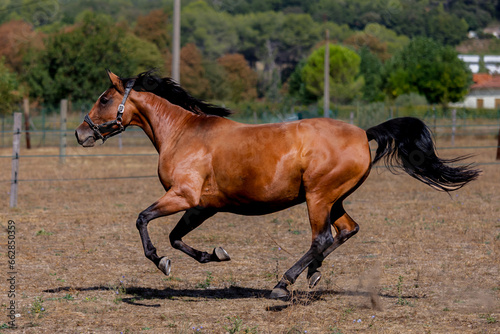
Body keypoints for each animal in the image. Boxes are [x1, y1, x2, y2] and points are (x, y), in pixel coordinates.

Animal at [75, 71, 480, 300]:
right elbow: (177, 237)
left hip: (318, 197)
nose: (81, 134)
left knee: (322, 237)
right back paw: (313, 274)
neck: (184, 134)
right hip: (332, 199)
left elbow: (143, 219)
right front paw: (215, 255)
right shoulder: (203, 205)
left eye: (105, 99)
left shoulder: (182, 196)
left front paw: (161, 263)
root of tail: (362, 133)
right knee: (346, 231)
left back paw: (284, 283)